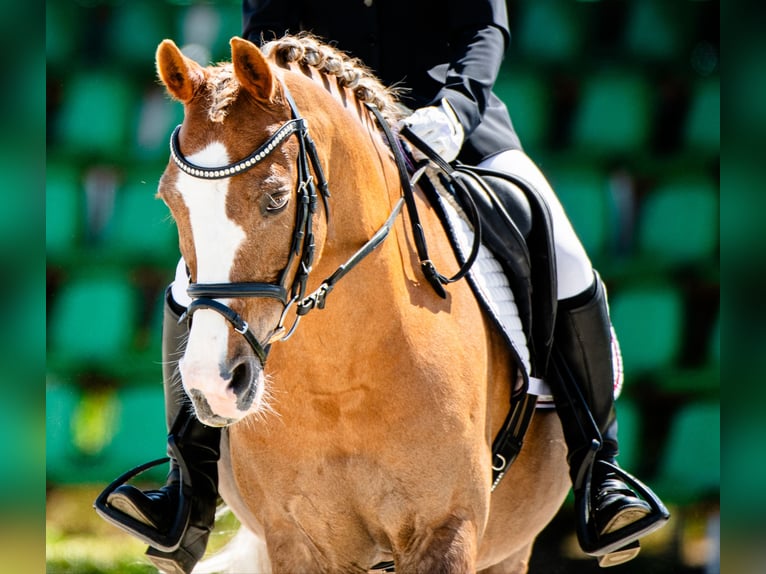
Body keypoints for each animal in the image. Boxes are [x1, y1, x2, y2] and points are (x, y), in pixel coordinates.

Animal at [154, 34, 570, 573]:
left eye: (276, 198)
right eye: (170, 202)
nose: (214, 385)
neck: (341, 376)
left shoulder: (446, 530)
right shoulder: (296, 540)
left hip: (510, 549)